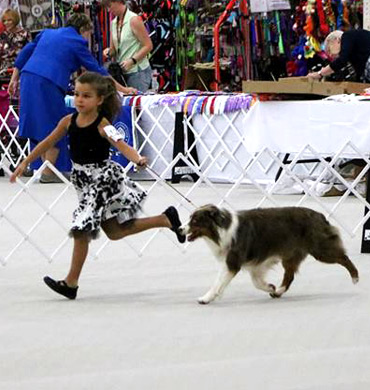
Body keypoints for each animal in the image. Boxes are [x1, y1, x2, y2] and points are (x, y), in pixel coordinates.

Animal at [179, 206, 358, 304]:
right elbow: (256, 282)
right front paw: (270, 287)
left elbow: (217, 283)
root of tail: (320, 215)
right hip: (291, 254)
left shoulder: (232, 261)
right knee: (289, 276)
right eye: (190, 218)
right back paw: (278, 291)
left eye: (195, 221)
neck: (221, 228)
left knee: (343, 257)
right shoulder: (257, 263)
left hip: (320, 249)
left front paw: (206, 298)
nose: (180, 229)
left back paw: (355, 277)